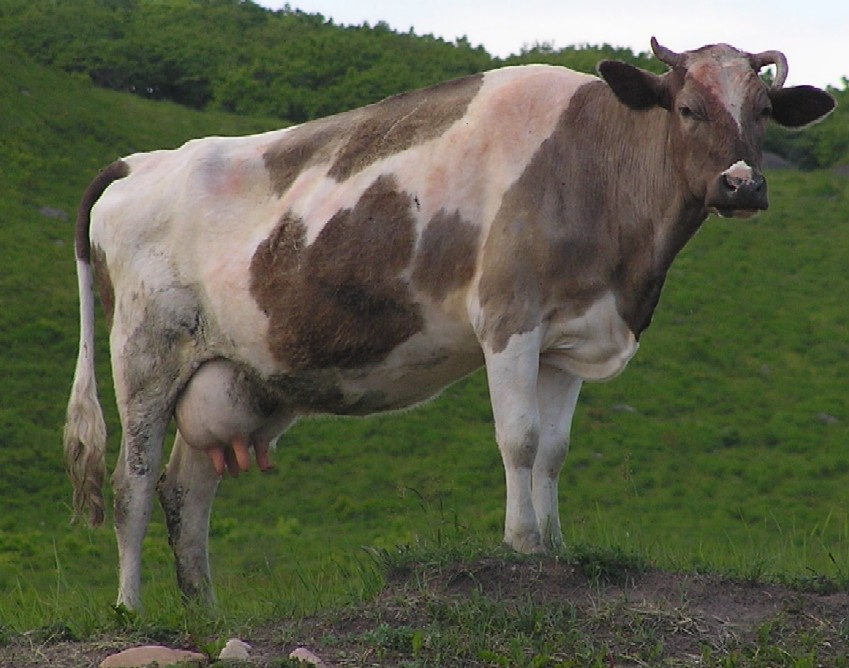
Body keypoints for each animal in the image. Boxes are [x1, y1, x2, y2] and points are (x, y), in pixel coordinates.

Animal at [64, 38, 835, 609]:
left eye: (764, 109)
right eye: (686, 107)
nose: (742, 184)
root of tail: (144, 161)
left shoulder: (570, 338)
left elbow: (554, 452)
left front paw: (557, 546)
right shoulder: (508, 317)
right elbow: (520, 440)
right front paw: (522, 545)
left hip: (226, 373)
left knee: (187, 494)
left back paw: (203, 616)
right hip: (144, 353)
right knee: (133, 485)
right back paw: (132, 608)